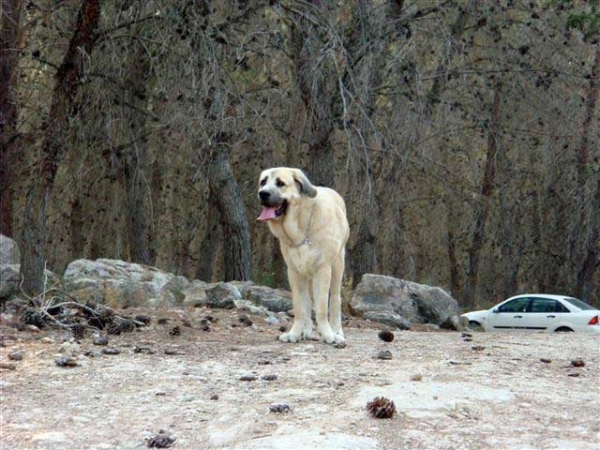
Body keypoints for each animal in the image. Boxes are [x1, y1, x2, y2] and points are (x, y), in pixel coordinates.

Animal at [256, 169, 350, 344]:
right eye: (263, 182)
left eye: (280, 183)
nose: (262, 193)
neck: (300, 227)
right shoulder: (294, 272)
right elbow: (300, 307)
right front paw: (294, 333)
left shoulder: (323, 270)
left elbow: (321, 308)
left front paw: (328, 335)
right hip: (306, 275)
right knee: (307, 303)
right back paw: (306, 331)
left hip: (338, 266)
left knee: (335, 299)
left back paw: (337, 331)